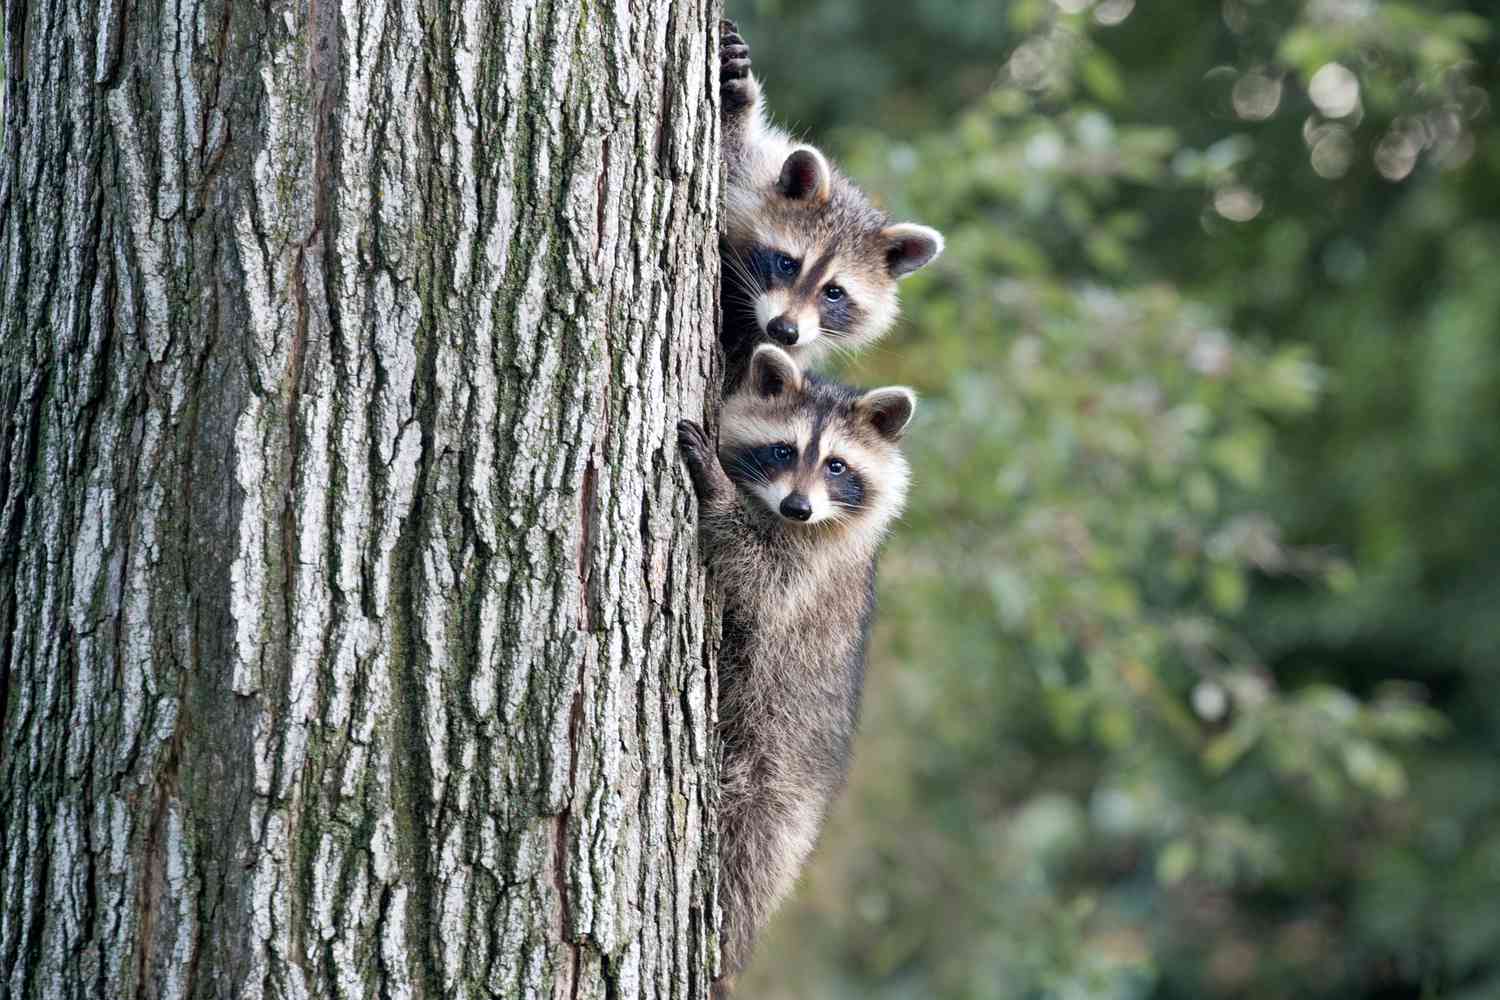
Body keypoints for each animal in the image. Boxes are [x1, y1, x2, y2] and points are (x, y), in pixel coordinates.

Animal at [678, 344, 912, 995]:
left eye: (836, 465)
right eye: (783, 450)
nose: (798, 506)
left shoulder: (813, 567)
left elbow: (761, 578)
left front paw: (718, 495)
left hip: (776, 785)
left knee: (747, 858)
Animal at [720, 22, 942, 383]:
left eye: (834, 292)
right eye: (787, 263)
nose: (783, 330)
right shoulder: (750, 174)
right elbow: (731, 150)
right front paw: (737, 102)